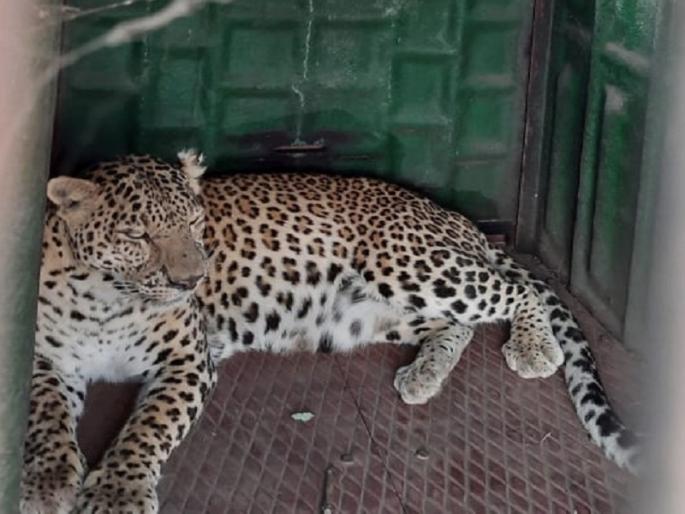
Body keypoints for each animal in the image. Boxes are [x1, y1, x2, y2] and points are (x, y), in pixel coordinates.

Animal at [21, 149, 638, 513]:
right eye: (137, 236)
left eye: (195, 224)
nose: (192, 279)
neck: (107, 299)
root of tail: (455, 218)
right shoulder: (44, 361)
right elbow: (45, 417)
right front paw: (48, 481)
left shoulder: (187, 362)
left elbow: (147, 428)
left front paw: (117, 492)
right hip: (376, 308)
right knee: (457, 324)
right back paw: (424, 375)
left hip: (407, 264)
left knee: (516, 292)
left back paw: (533, 347)